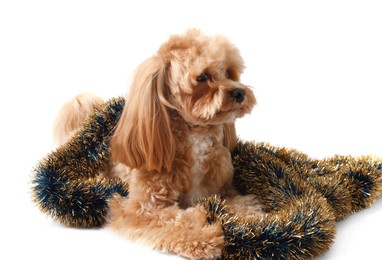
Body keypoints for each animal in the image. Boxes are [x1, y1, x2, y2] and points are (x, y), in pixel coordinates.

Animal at [53, 29, 262, 258]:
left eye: (228, 72)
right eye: (201, 77)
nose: (239, 92)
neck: (195, 139)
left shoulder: (222, 190)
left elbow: (242, 203)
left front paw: (253, 217)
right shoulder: (143, 208)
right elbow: (174, 220)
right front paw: (203, 236)